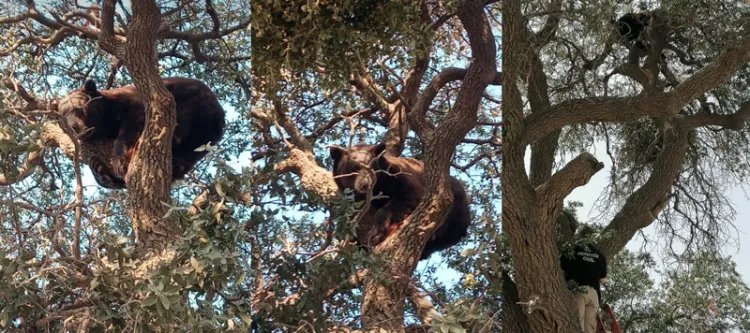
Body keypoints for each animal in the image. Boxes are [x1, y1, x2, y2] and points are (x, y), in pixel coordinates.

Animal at [58, 76, 226, 188]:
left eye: (78, 107)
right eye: (63, 118)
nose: (74, 127)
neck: (106, 121)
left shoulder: (130, 102)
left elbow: (133, 122)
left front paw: (119, 160)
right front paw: (100, 170)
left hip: (194, 103)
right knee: (192, 150)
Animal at [328, 143, 470, 260]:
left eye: (372, 166)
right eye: (354, 167)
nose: (365, 184)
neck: (377, 188)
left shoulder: (398, 176)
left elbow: (409, 196)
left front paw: (377, 233)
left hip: (455, 205)